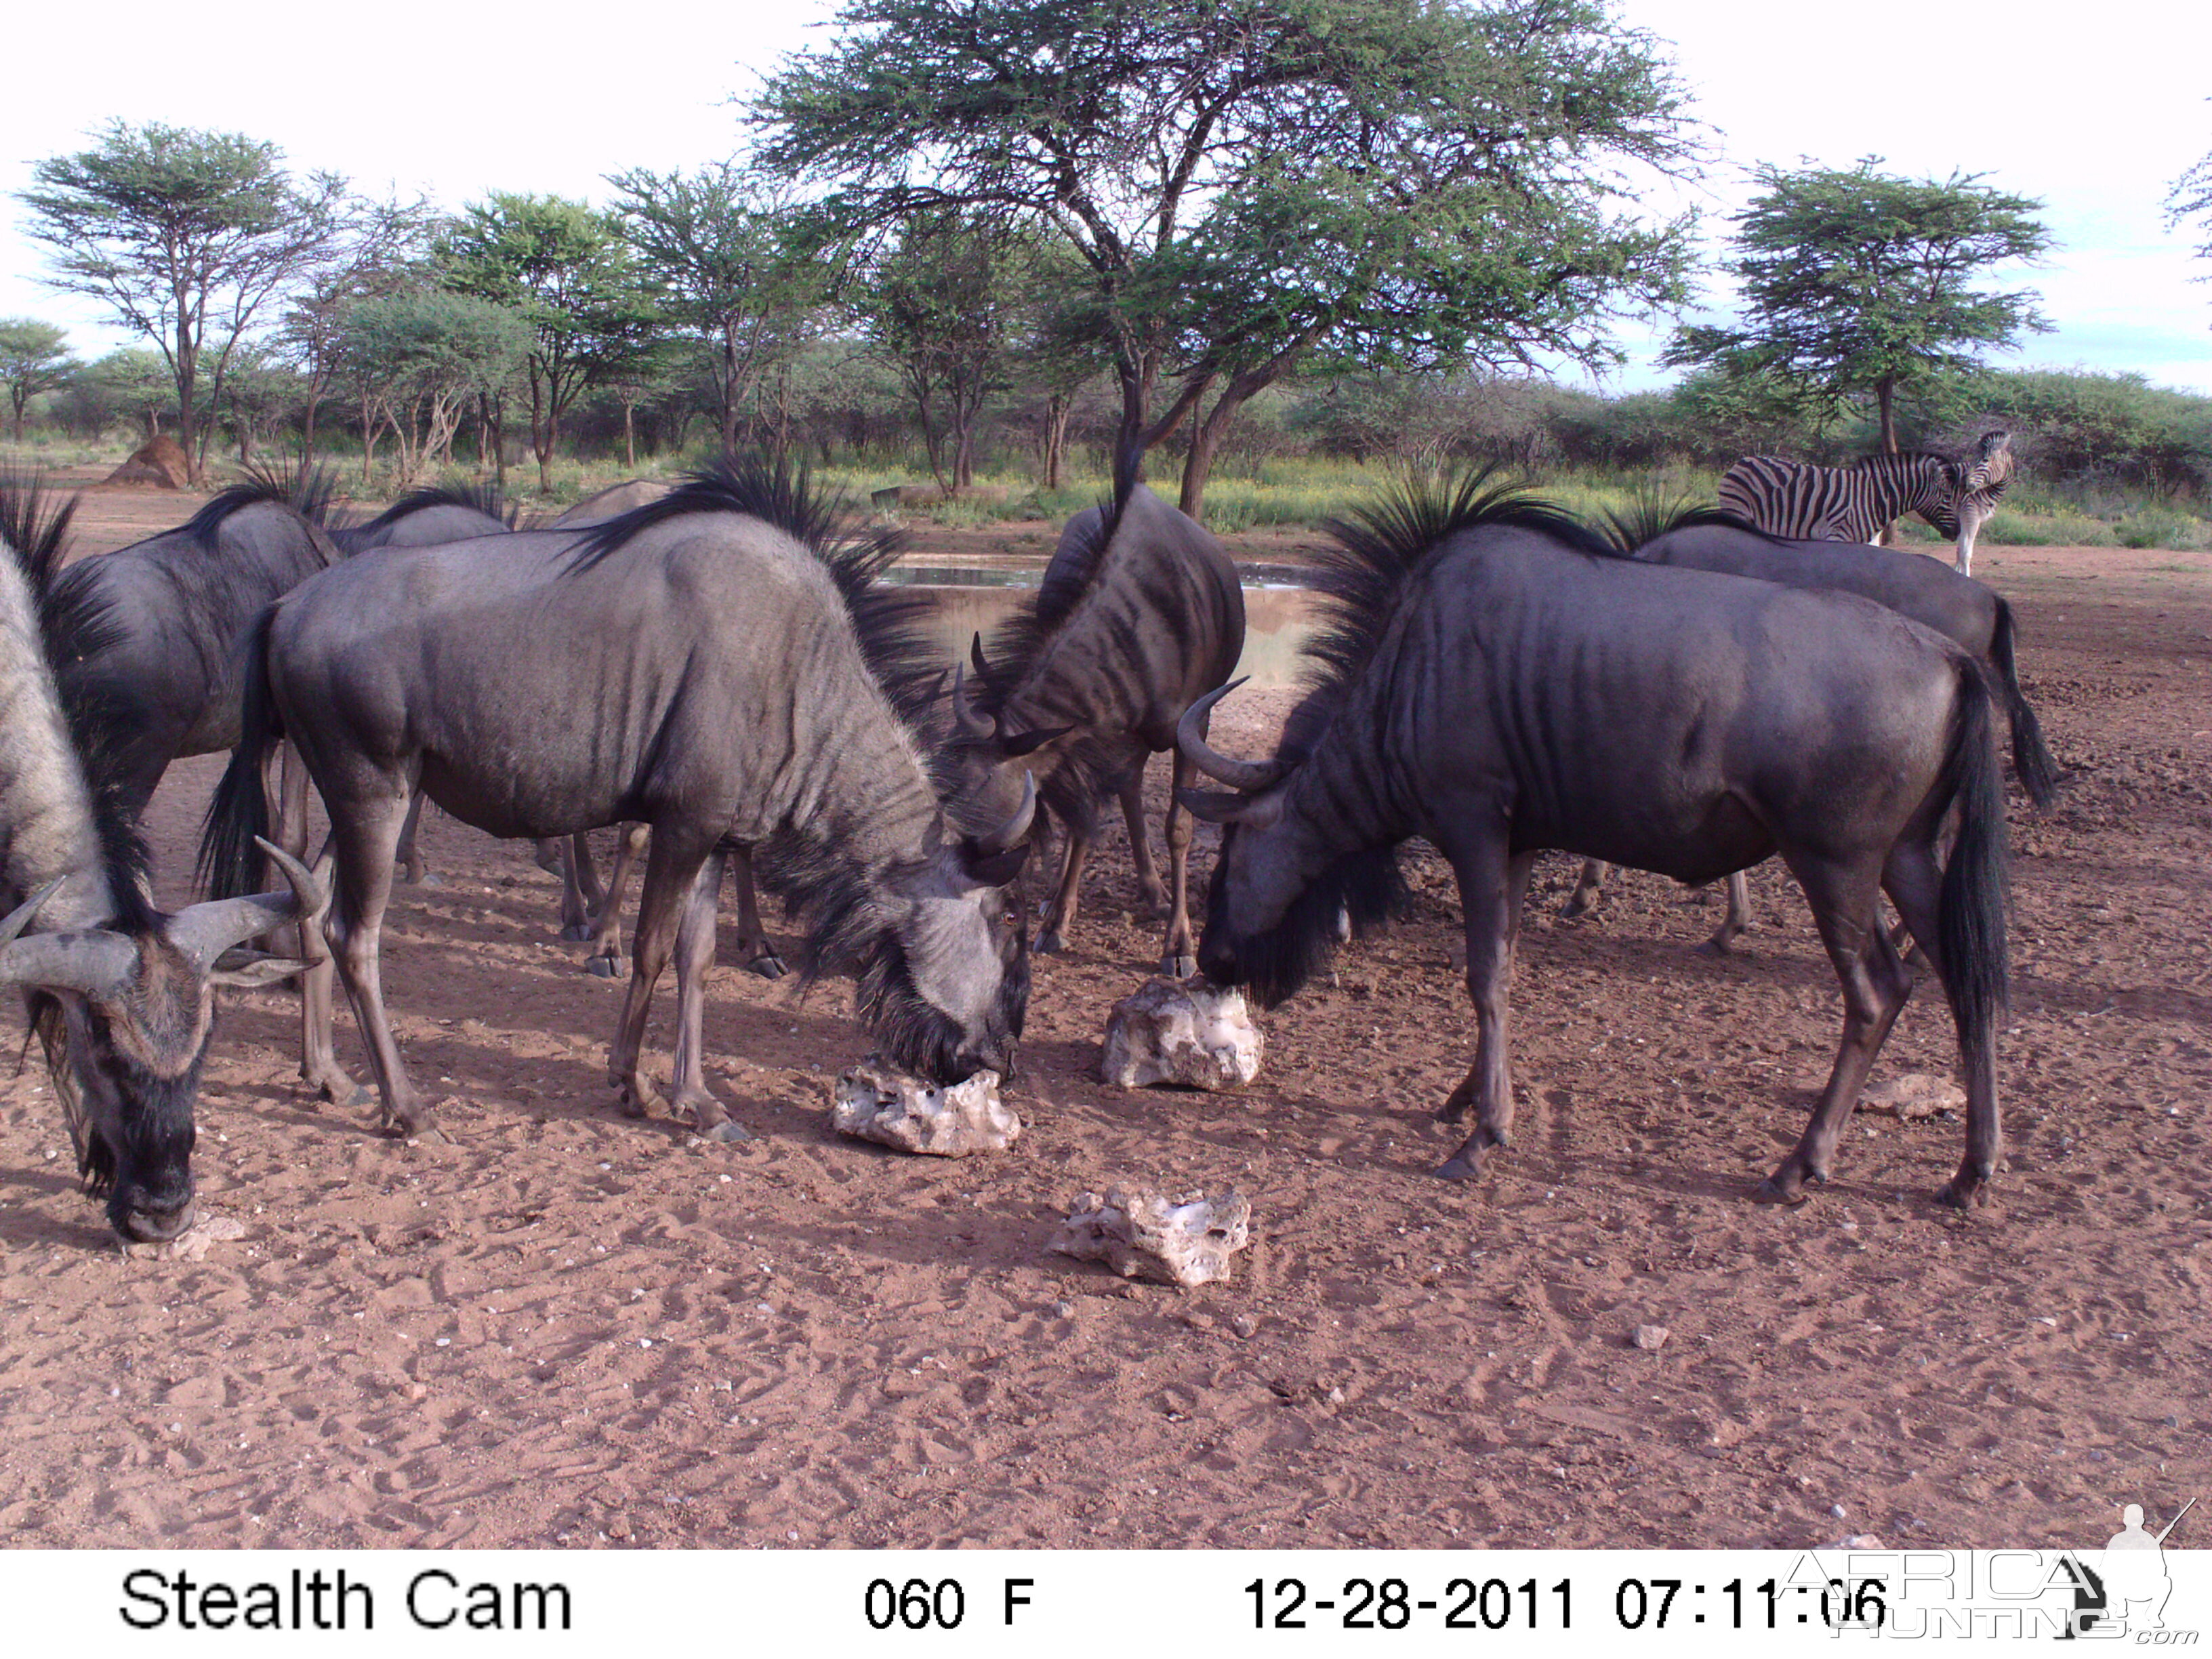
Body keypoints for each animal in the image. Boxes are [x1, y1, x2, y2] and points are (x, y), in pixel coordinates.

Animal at [1707, 436, 2026, 579]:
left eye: (1984, 461)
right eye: (1949, 497)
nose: (1955, 530)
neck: (1875, 495)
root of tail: (1742, 461)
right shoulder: (1838, 536)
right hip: (1737, 511)